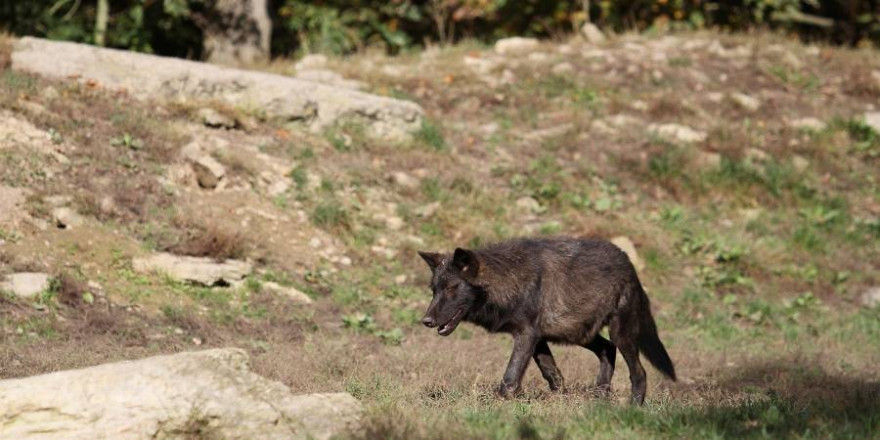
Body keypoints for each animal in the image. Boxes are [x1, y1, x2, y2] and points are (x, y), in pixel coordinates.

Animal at [416, 237, 676, 406]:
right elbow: (553, 374)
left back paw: (633, 407)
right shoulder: (537, 338)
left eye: (451, 288)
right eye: (434, 290)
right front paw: (560, 399)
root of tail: (628, 262)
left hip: (619, 334)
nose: (426, 321)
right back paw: (599, 395)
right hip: (580, 334)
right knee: (607, 350)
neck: (508, 279)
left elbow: (511, 375)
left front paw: (498, 403)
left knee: (639, 372)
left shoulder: (526, 336)